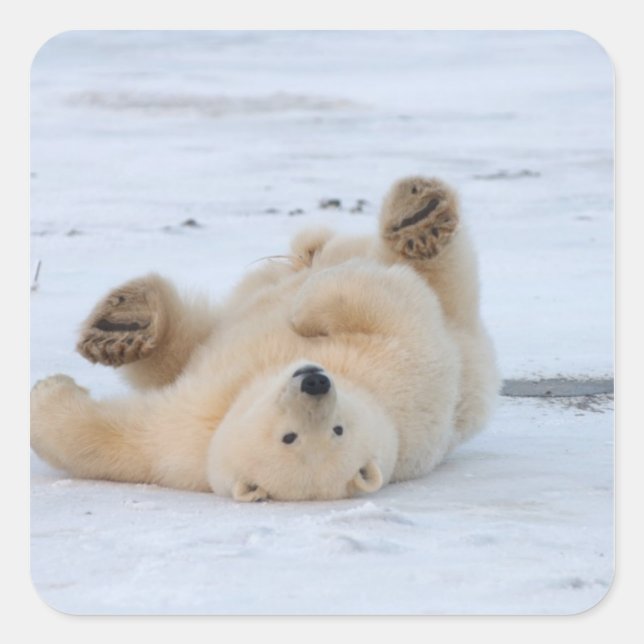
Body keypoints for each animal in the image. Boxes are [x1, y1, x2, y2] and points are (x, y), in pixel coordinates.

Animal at [30, 175, 500, 502]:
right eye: (290, 437)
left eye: (337, 430)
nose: (315, 381)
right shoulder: (189, 433)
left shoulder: (405, 372)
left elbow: (387, 306)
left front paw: (47, 392)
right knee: (195, 336)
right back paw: (123, 325)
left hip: (463, 331)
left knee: (436, 275)